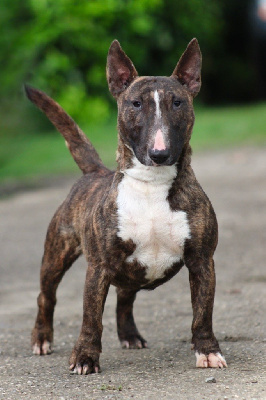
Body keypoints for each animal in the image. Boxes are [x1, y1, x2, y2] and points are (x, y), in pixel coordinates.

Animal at [26, 39, 228, 374]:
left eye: (177, 103)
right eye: (135, 104)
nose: (159, 153)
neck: (152, 183)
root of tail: (95, 171)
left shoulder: (202, 260)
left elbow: (203, 312)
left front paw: (208, 351)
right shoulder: (99, 266)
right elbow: (90, 317)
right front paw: (85, 358)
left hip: (132, 270)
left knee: (124, 298)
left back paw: (130, 335)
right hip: (57, 253)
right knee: (47, 296)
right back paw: (42, 339)